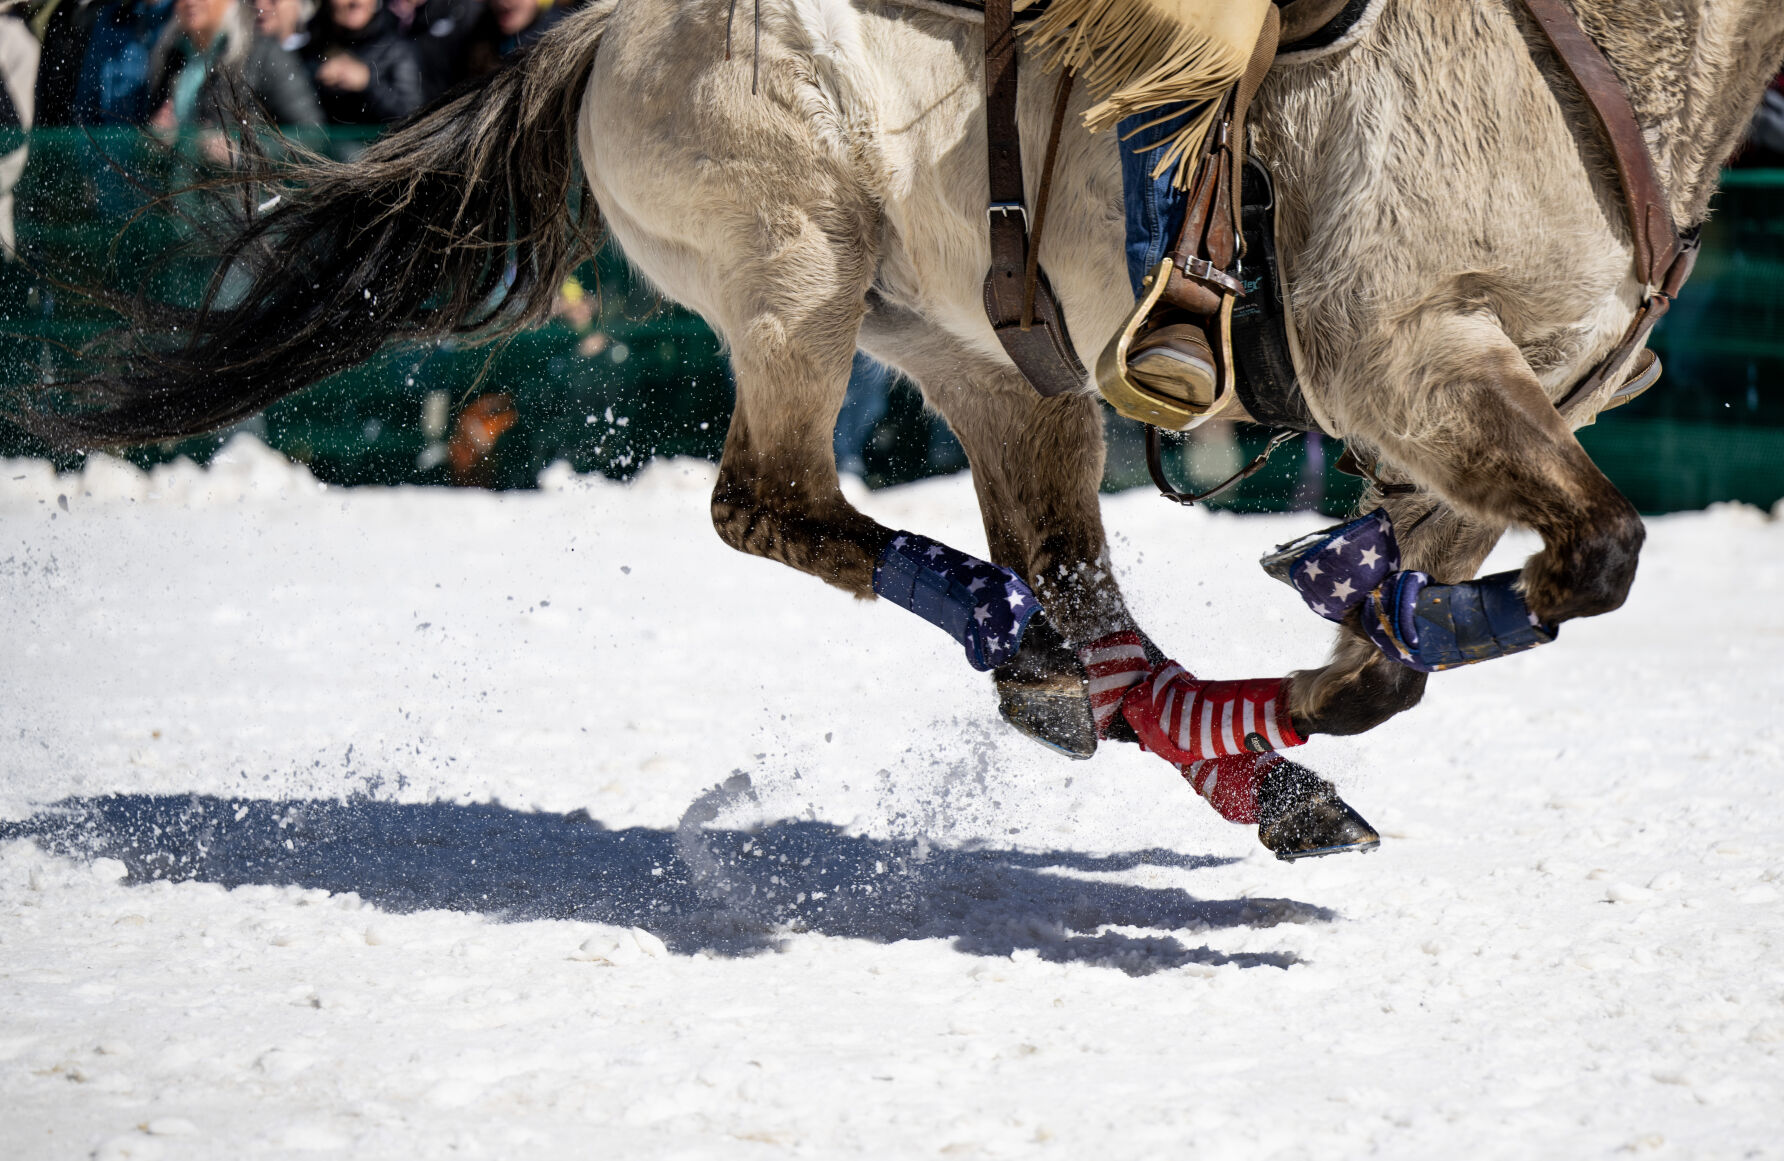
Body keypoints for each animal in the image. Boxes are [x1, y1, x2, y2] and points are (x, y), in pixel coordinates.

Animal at [34, 0, 1784, 855]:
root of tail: (602, 31)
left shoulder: (1489, 410)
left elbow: (1408, 641)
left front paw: (1323, 660)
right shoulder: (1405, 356)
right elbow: (1594, 553)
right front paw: (1337, 636)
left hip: (998, 357)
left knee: (1077, 582)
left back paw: (1189, 736)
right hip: (800, 270)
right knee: (771, 500)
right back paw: (1014, 633)